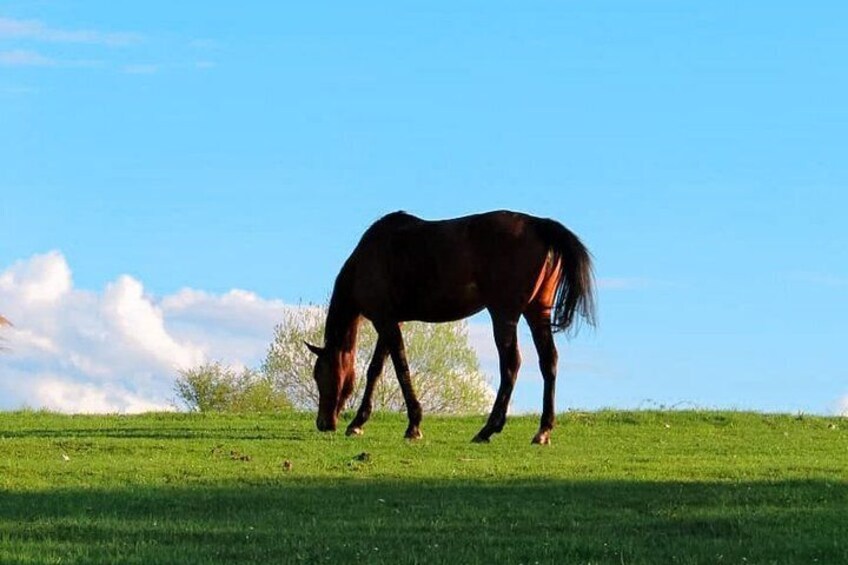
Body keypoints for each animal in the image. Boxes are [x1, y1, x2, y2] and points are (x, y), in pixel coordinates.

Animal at [306, 209, 596, 442]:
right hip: (537, 312)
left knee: (511, 364)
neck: (367, 259)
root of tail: (538, 224)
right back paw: (542, 431)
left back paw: (487, 429)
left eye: (320, 374)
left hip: (504, 315)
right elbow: (375, 369)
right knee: (549, 362)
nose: (323, 423)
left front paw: (413, 425)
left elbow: (400, 367)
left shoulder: (385, 321)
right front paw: (358, 422)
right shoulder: (389, 321)